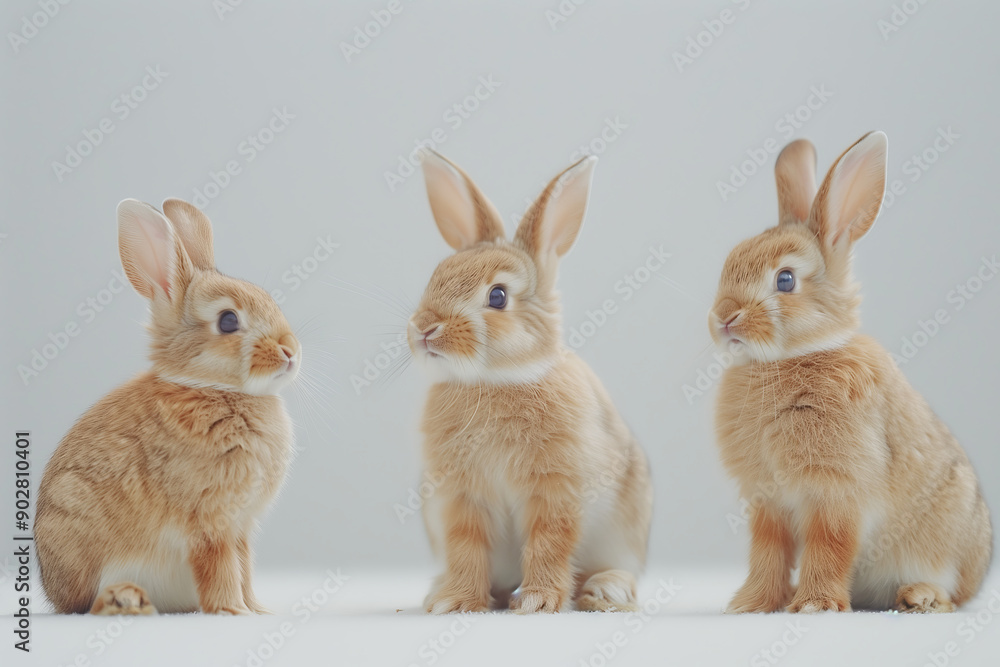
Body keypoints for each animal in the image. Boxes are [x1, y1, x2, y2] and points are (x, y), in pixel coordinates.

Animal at [35, 198, 301, 615]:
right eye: (228, 321)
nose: (291, 351)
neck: (213, 388)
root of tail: (51, 587)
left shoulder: (240, 527)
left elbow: (244, 568)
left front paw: (256, 609)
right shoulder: (209, 523)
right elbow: (221, 568)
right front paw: (232, 611)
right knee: (83, 607)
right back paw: (124, 599)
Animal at [407, 150, 653, 614]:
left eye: (498, 296)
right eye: (435, 276)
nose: (425, 329)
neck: (496, 379)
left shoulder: (555, 488)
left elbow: (549, 541)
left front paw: (538, 601)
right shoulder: (461, 498)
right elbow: (466, 546)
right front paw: (456, 601)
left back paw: (605, 589)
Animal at [710, 131, 992, 613]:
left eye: (785, 280)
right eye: (730, 261)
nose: (725, 317)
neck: (787, 358)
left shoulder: (838, 491)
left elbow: (829, 546)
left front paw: (814, 605)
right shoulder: (768, 503)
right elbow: (767, 553)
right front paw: (751, 604)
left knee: (953, 595)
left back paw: (920, 596)